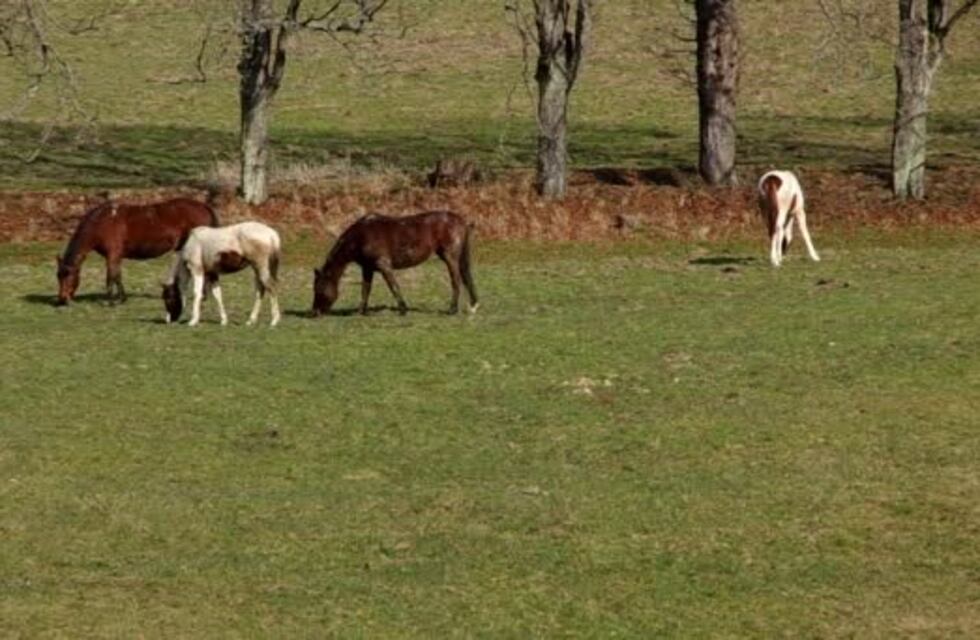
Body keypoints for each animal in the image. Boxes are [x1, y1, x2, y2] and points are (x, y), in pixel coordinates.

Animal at [55, 197, 219, 305]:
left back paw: (202, 296)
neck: (102, 222)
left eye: (68, 275)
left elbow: (111, 277)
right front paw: (122, 298)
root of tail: (203, 206)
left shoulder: (112, 255)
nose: (63, 299)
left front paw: (111, 301)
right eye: (58, 277)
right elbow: (117, 276)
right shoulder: (116, 256)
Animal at [311, 210, 478, 317]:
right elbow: (365, 289)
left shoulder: (384, 265)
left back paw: (452, 310)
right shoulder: (367, 268)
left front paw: (403, 310)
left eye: (318, 289)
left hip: (450, 257)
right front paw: (361, 311)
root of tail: (462, 221)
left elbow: (393, 286)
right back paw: (473, 305)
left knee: (456, 281)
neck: (360, 236)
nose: (314, 312)